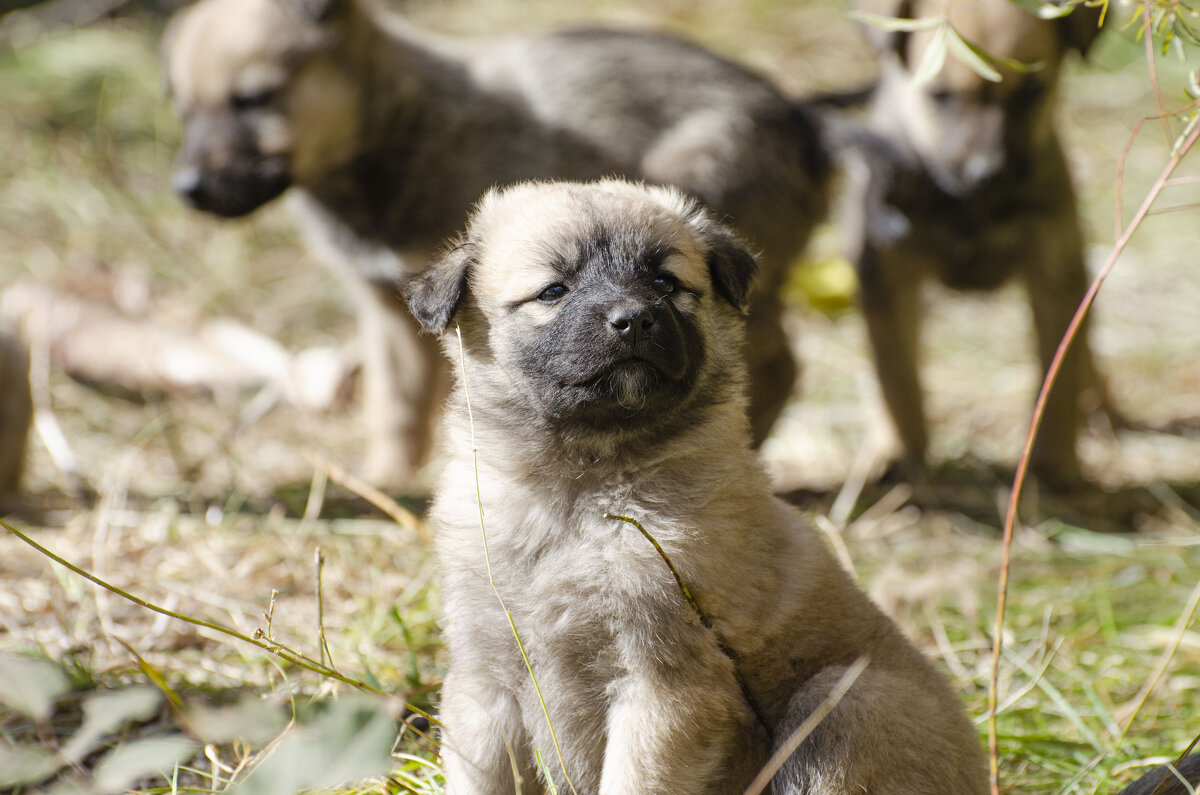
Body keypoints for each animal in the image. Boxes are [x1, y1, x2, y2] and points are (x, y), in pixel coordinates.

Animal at [164, 0, 830, 485]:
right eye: (183, 110)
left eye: (253, 99)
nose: (187, 190)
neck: (398, 127)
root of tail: (804, 119)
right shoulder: (388, 307)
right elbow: (395, 407)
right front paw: (386, 483)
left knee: (776, 366)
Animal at [408, 180, 988, 795]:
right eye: (554, 291)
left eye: (665, 283)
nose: (633, 319)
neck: (580, 493)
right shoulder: (484, 682)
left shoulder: (663, 684)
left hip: (846, 703)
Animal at [844, 0, 1104, 489]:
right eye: (941, 97)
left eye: (1032, 92)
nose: (989, 173)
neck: (966, 205)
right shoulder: (884, 270)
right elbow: (896, 372)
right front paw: (897, 448)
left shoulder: (1055, 271)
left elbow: (1057, 373)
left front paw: (1055, 458)